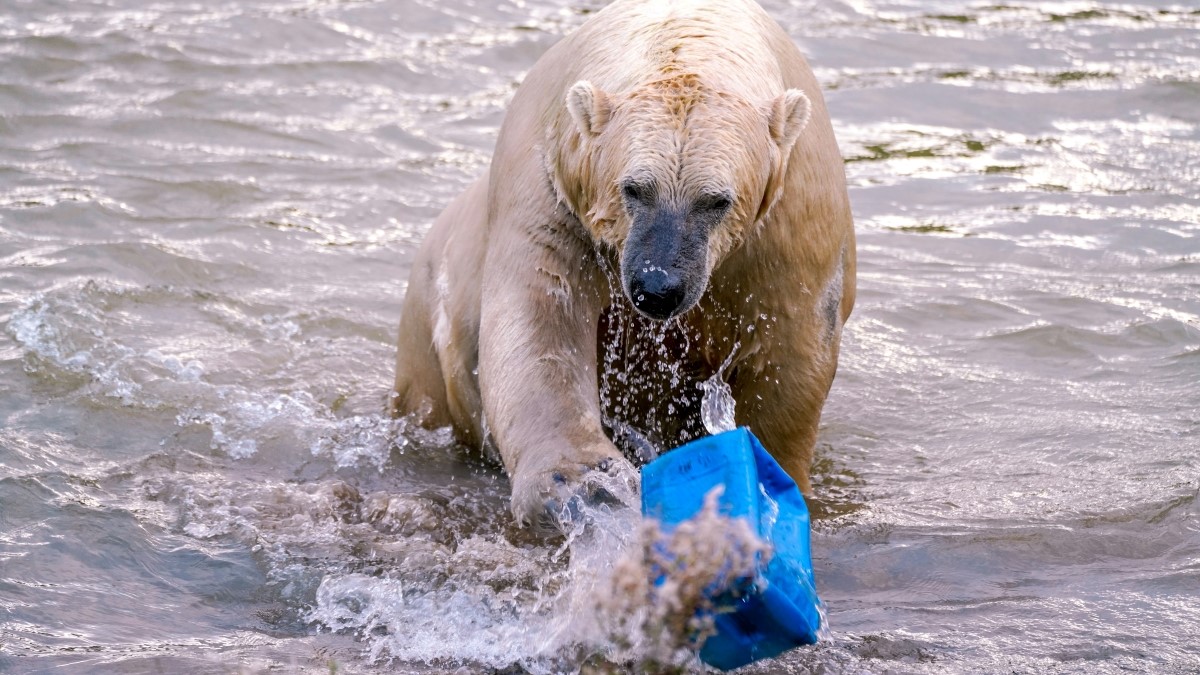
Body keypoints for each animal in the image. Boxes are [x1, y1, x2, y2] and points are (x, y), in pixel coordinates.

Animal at [391, 0, 854, 528]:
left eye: (716, 201)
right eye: (634, 189)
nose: (658, 286)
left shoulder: (792, 217)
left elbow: (790, 348)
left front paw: (769, 479)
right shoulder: (551, 182)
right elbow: (541, 315)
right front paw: (586, 481)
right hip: (425, 337)